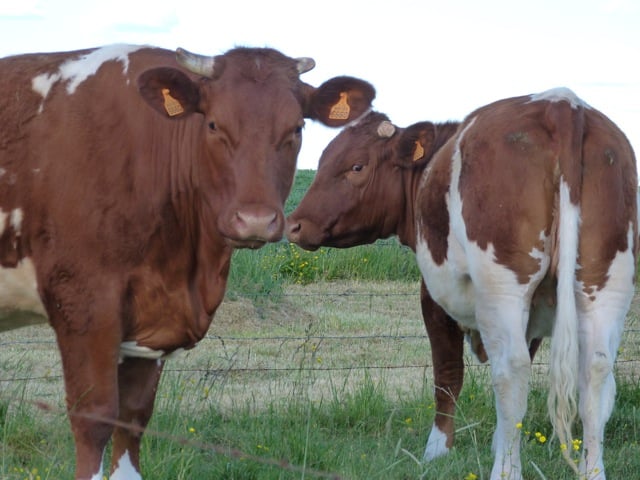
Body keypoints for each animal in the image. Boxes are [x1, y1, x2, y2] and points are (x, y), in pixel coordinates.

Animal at [0, 44, 375, 479]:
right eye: (212, 125)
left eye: (297, 128)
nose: (255, 220)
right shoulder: (83, 302)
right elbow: (95, 419)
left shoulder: (151, 322)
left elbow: (133, 418)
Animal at [286, 88, 638, 480]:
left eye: (356, 166)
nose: (295, 224)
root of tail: (561, 103)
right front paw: (499, 443)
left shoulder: (433, 299)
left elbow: (448, 375)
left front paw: (437, 451)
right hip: (605, 284)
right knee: (595, 371)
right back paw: (592, 470)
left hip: (504, 285)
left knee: (512, 370)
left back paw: (505, 472)